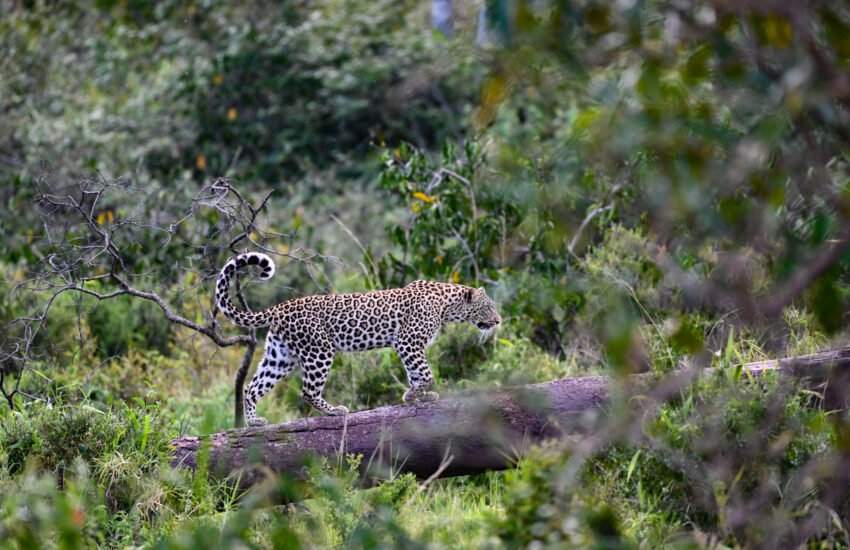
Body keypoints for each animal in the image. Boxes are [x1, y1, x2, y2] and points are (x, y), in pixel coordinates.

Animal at [216, 252, 501, 426]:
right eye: (488, 308)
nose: (498, 321)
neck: (446, 306)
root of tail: (281, 306)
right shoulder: (408, 341)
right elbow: (426, 373)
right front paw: (414, 394)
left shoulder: (408, 346)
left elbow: (416, 373)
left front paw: (417, 396)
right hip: (319, 351)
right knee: (308, 391)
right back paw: (335, 411)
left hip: (280, 355)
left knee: (251, 387)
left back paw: (254, 422)